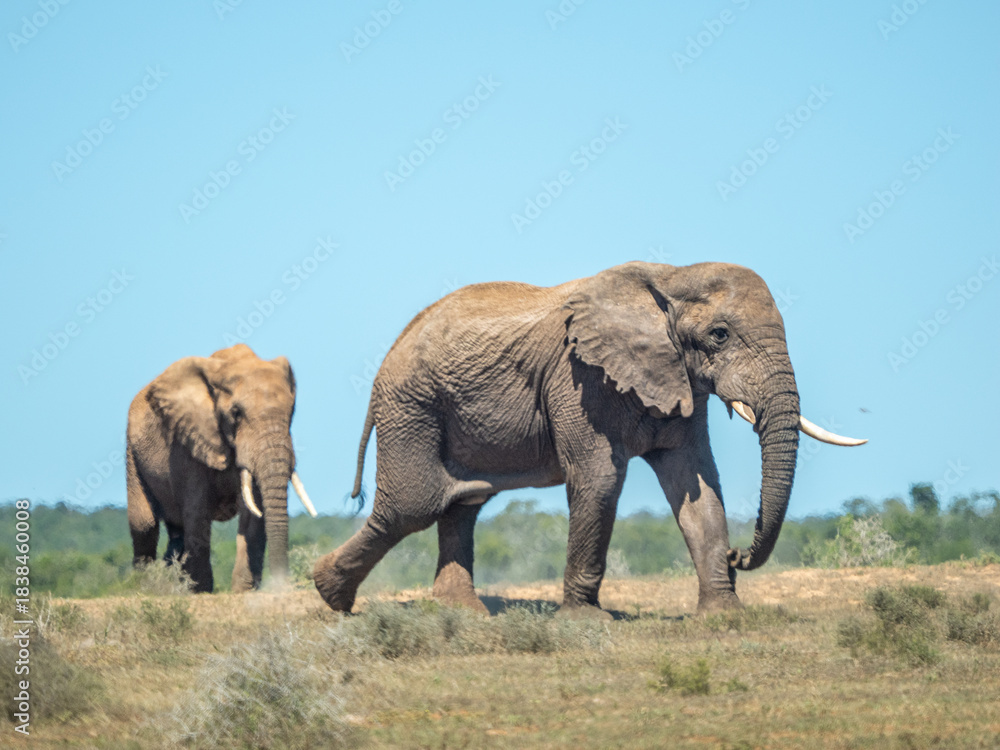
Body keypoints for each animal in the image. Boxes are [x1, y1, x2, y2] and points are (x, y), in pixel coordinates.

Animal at [126, 343, 317, 593]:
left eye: (291, 411)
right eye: (236, 413)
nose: (280, 584)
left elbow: (252, 514)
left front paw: (243, 591)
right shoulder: (187, 442)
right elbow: (197, 513)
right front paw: (200, 591)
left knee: (176, 531)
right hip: (132, 452)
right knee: (144, 524)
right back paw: (146, 588)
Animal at [313, 262, 865, 616]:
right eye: (720, 335)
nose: (738, 558)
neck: (670, 275)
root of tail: (390, 353)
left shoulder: (679, 381)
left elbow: (697, 485)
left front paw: (725, 618)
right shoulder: (578, 376)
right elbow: (600, 478)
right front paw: (585, 621)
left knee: (462, 502)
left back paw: (463, 614)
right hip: (412, 406)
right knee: (414, 504)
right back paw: (329, 594)